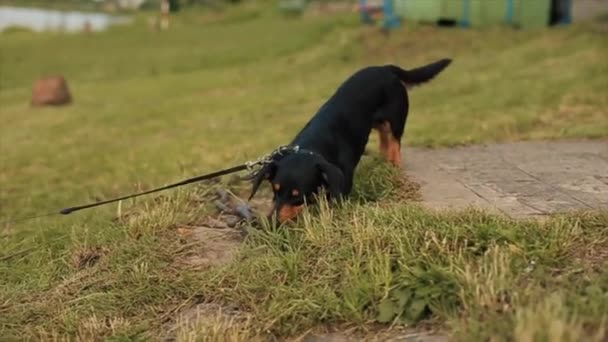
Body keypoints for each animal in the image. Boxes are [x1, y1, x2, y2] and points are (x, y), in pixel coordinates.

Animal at [247, 58, 452, 223]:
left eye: (298, 196)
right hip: (379, 123)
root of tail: (385, 68)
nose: (272, 222)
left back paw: (393, 166)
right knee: (384, 142)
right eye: (275, 190)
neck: (314, 144)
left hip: (395, 120)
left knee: (394, 144)